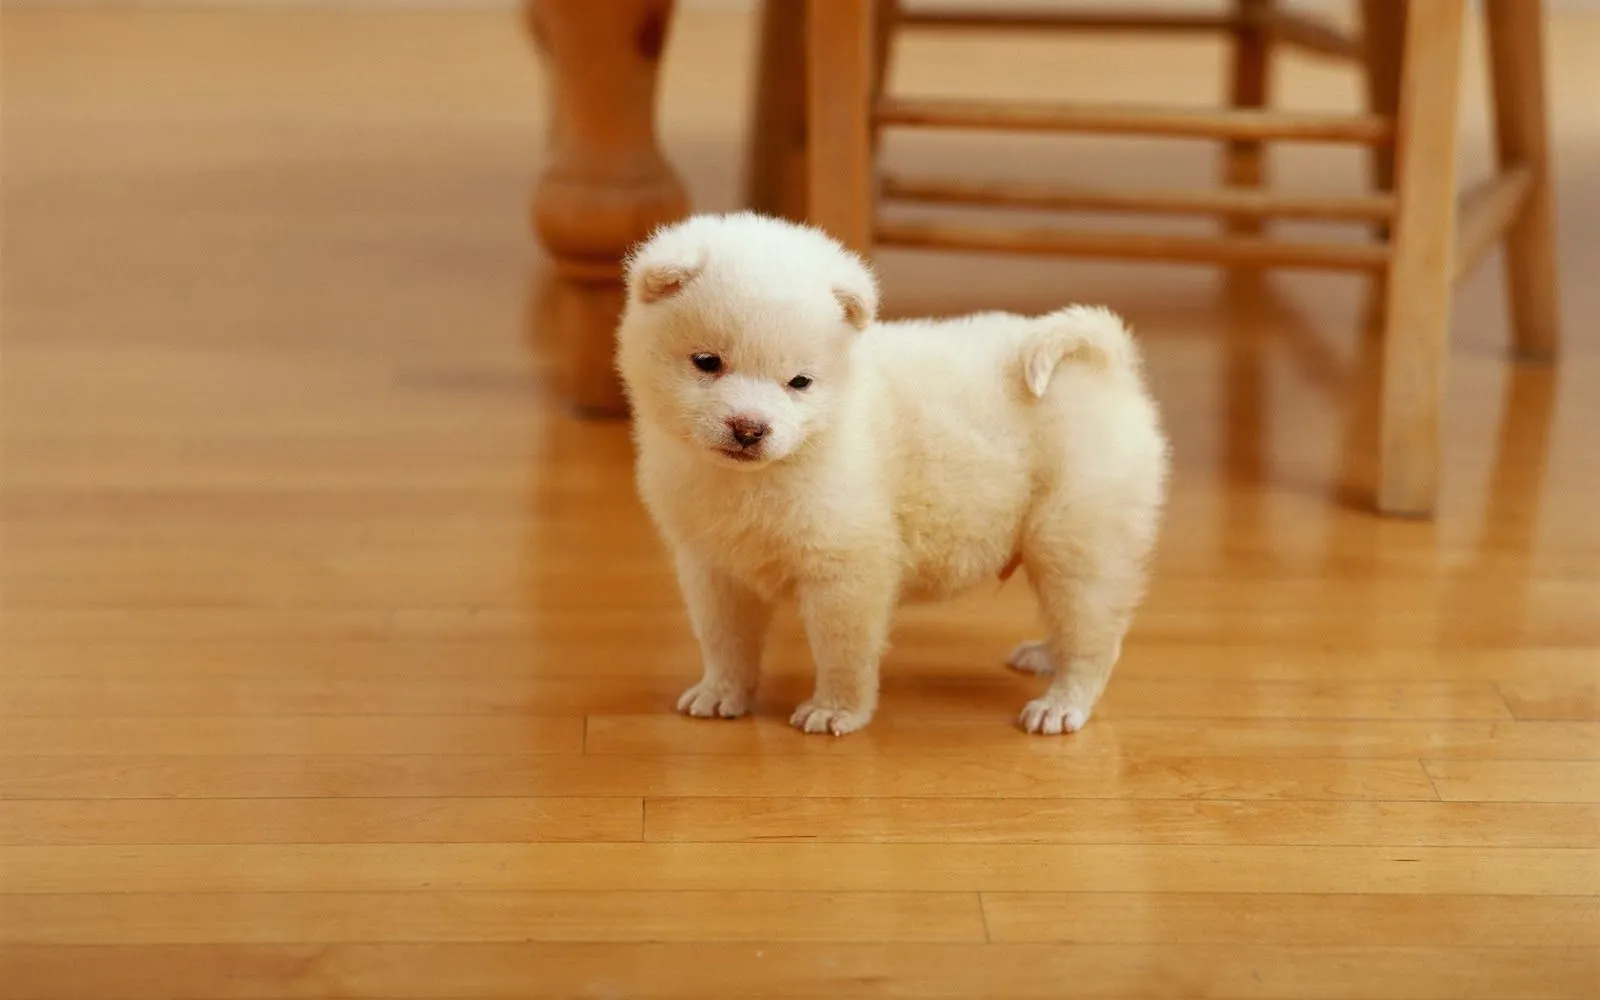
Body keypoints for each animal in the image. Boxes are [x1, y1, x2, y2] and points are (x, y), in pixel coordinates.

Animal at [617, 214, 1171, 732]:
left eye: (800, 382)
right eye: (706, 362)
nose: (749, 428)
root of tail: (1109, 366)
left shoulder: (847, 568)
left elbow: (842, 651)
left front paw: (836, 711)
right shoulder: (714, 567)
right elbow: (724, 641)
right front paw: (721, 693)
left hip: (1076, 540)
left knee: (1093, 637)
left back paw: (1061, 703)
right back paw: (1044, 657)